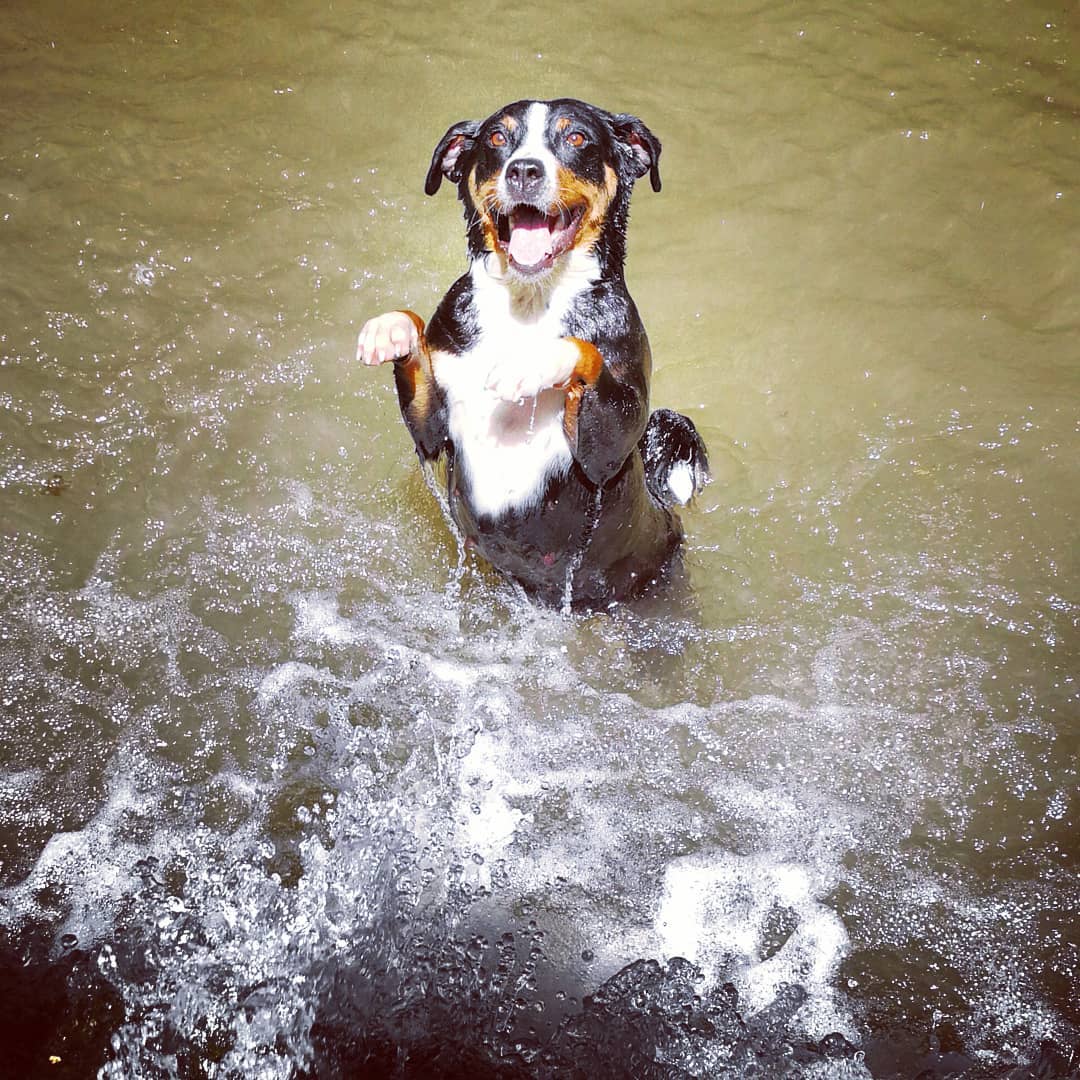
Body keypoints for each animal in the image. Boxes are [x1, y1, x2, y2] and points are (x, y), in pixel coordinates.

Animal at [357, 98, 710, 609]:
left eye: (577, 137)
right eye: (497, 138)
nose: (524, 169)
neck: (528, 304)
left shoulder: (607, 447)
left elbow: (582, 351)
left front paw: (530, 364)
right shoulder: (434, 431)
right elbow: (416, 338)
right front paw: (391, 328)